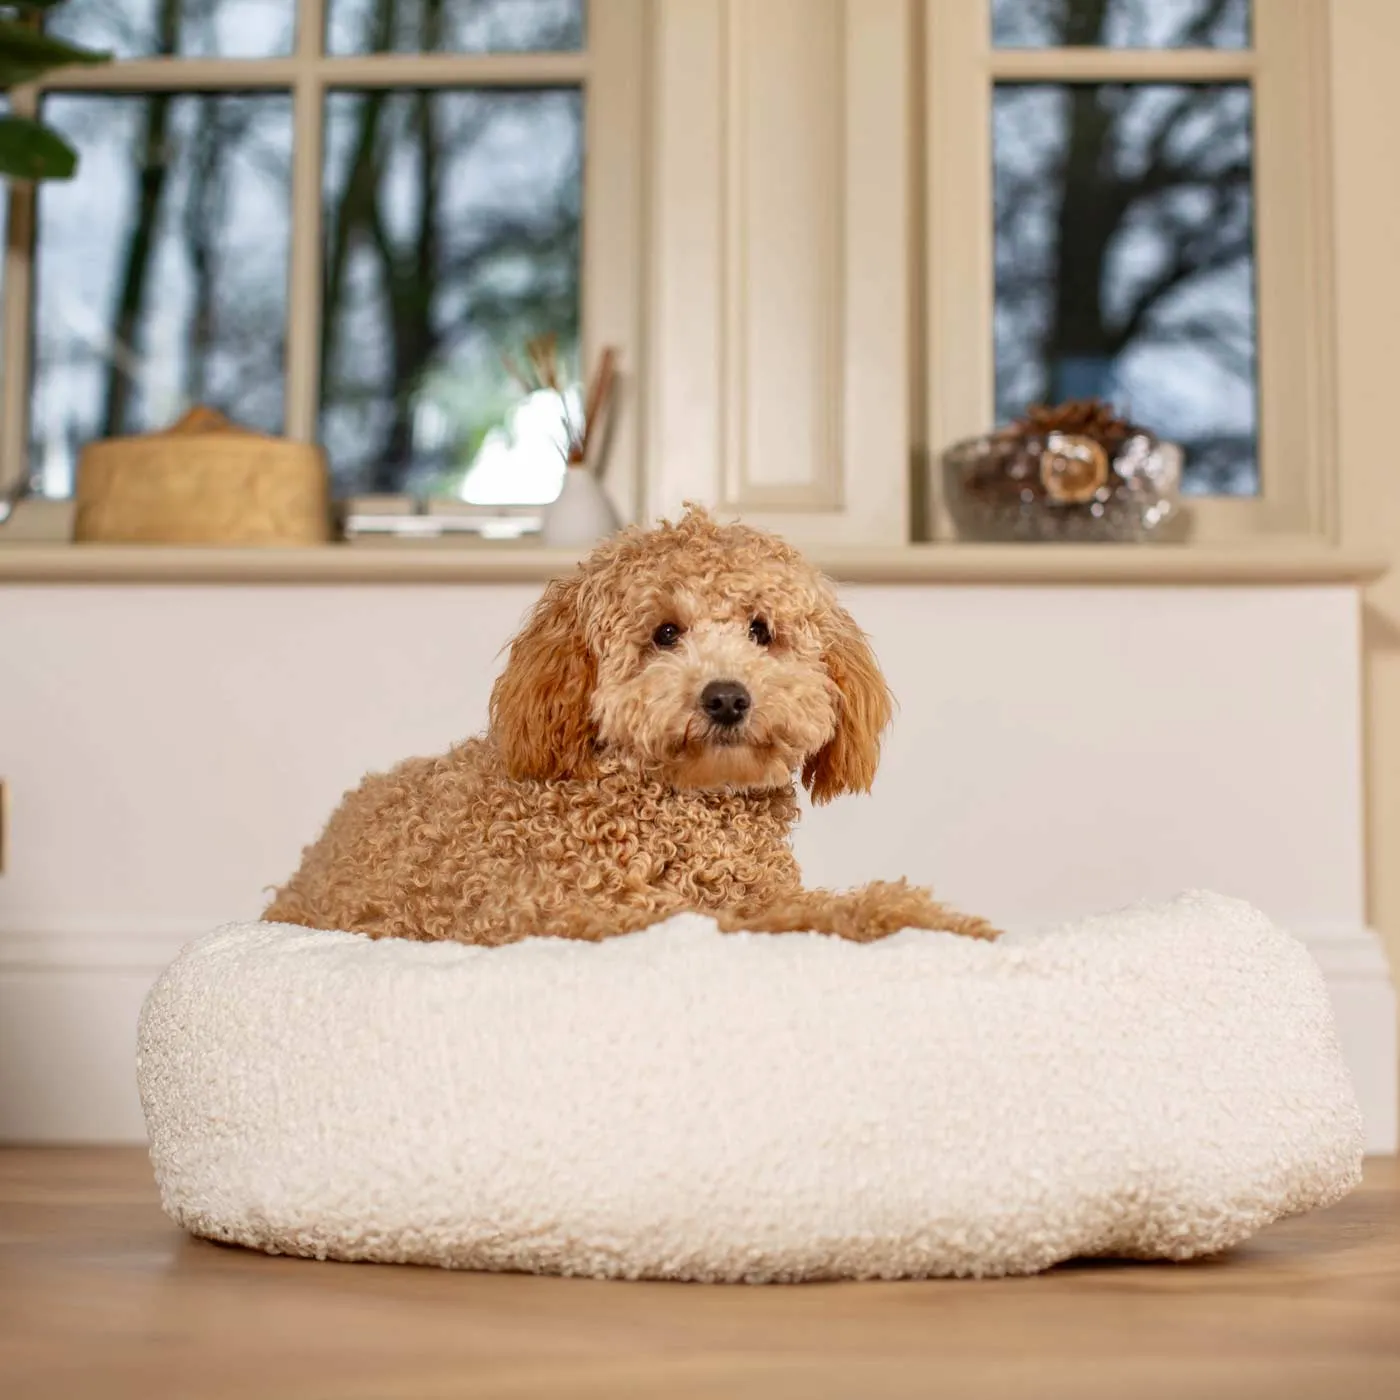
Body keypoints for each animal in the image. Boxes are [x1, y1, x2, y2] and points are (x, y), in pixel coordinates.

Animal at [264, 509, 996, 946]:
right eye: (665, 633)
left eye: (761, 631)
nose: (726, 699)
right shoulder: (574, 910)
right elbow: (782, 915)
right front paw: (912, 914)